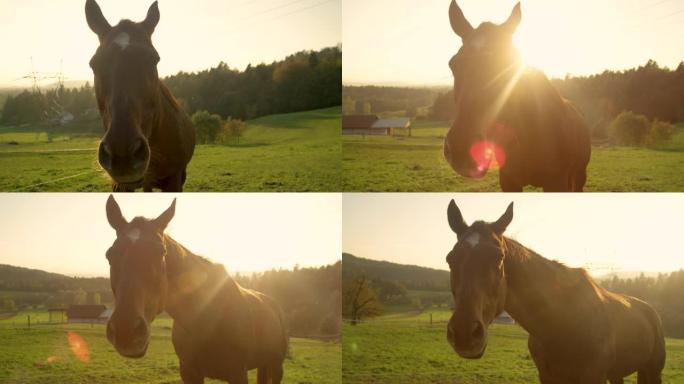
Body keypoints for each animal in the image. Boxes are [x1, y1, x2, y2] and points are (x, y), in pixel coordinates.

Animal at [104, 196, 288, 382]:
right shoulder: (189, 371)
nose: (126, 330)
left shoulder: (238, 373)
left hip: (276, 365)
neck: (207, 317)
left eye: (161, 252)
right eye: (109, 255)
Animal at [440, 0, 592, 191]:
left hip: (579, 175)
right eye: (453, 64)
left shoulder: (557, 182)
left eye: (508, 65)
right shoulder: (508, 181)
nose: (462, 150)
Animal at [446, 201, 664, 384]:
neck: (560, 322)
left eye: (499, 257)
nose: (465, 334)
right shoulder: (548, 377)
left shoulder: (594, 377)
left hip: (653, 371)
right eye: (450, 258)